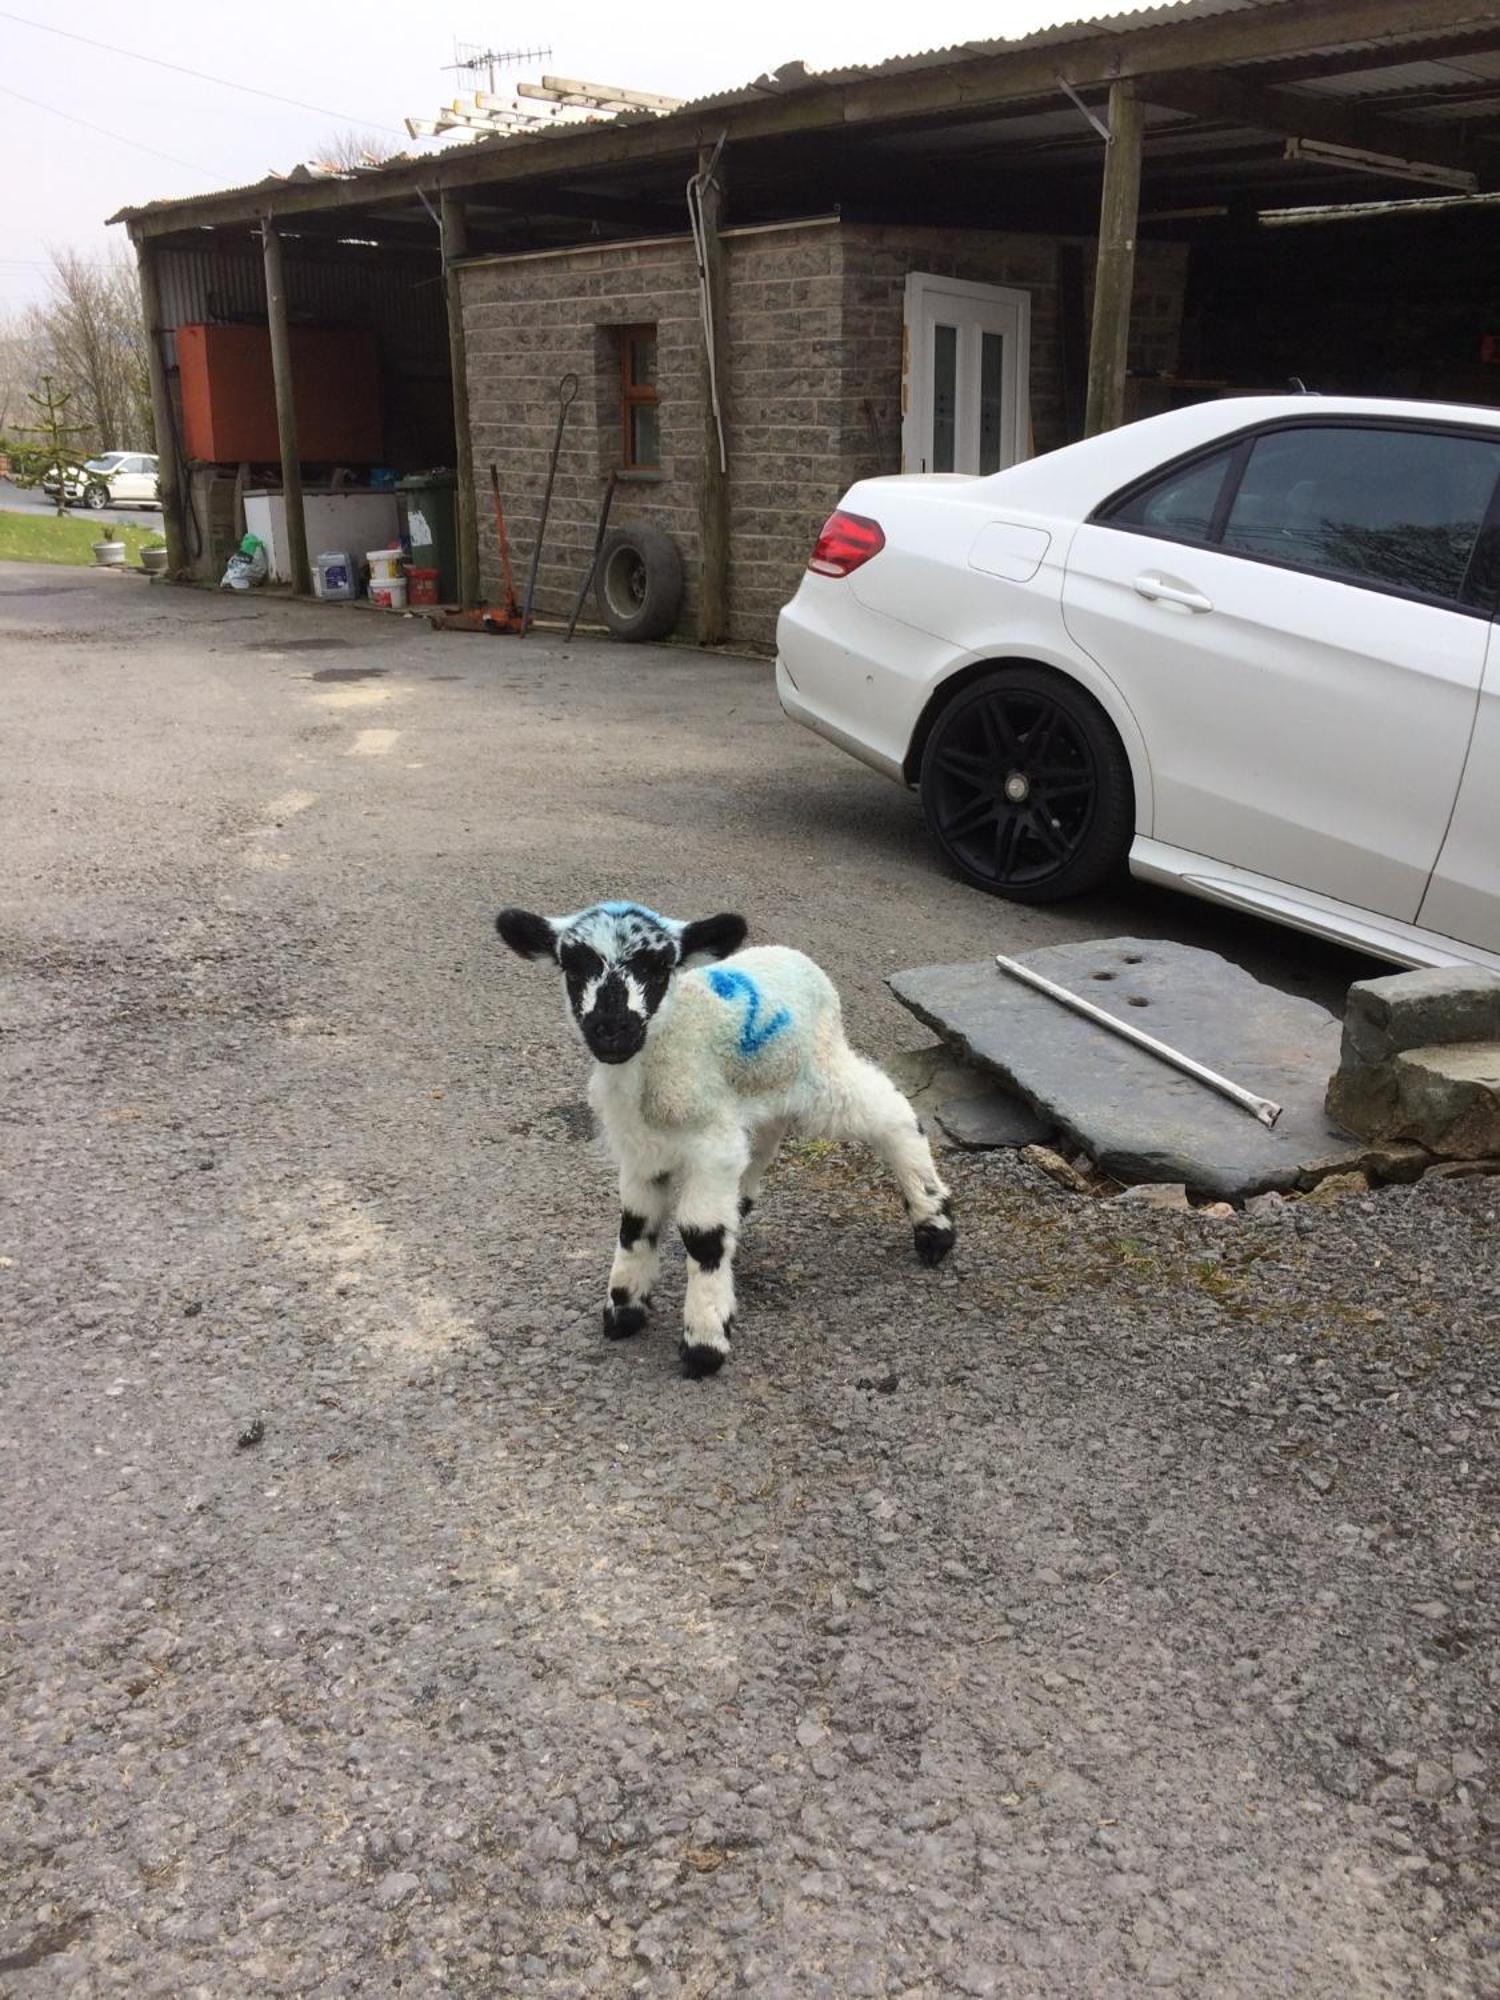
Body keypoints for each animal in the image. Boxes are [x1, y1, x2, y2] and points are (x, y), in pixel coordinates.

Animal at [500, 904, 956, 1376]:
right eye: (573, 967)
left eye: (658, 968)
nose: (611, 1029)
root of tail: (797, 957)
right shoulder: (643, 1149)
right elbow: (635, 1224)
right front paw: (623, 1310)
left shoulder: (709, 1144)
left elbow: (701, 1236)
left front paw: (705, 1343)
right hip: (760, 1092)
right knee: (761, 1149)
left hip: (820, 1070)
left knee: (891, 1114)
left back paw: (934, 1225)